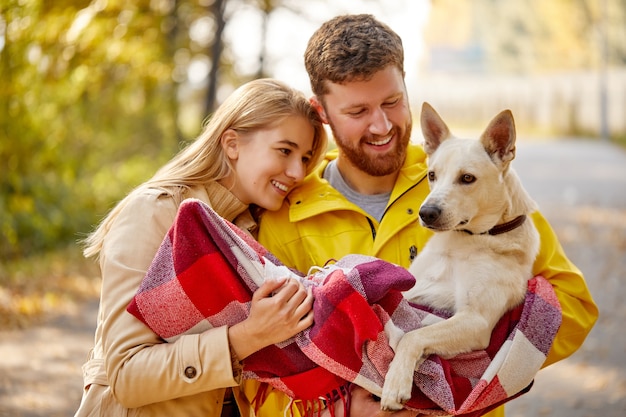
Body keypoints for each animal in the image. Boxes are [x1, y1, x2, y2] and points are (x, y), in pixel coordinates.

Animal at [378, 101, 540, 410]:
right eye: (431, 175)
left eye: (467, 178)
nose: (426, 213)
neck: (469, 239)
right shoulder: (413, 289)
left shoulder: (476, 320)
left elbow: (413, 335)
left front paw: (396, 382)